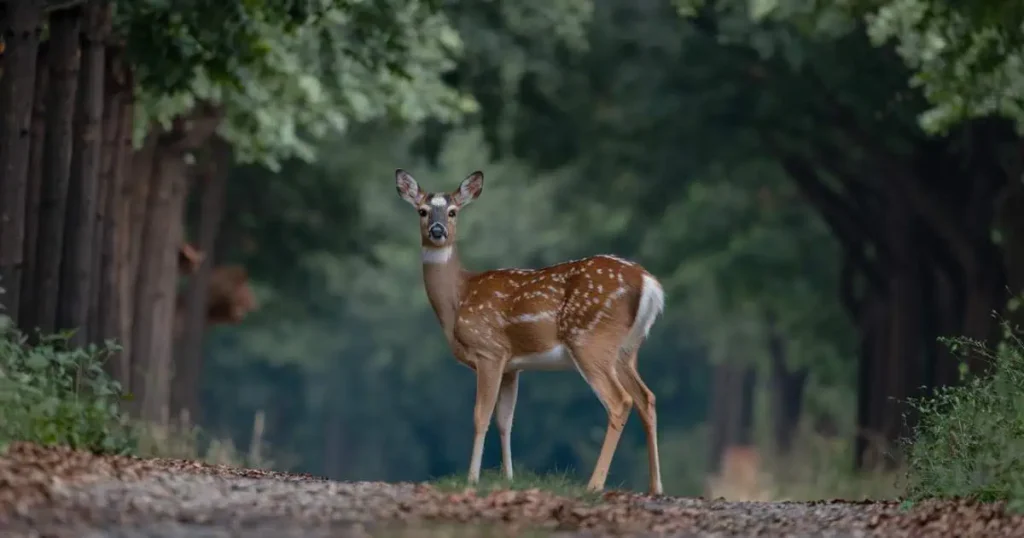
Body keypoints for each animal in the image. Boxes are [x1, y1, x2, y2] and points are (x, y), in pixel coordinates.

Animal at [395, 170, 667, 493]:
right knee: (646, 398)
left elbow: (480, 415)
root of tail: (648, 282)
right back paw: (656, 487)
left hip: (591, 340)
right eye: (422, 211)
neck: (458, 299)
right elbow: (505, 420)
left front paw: (472, 478)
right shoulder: (512, 366)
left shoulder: (489, 351)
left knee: (620, 401)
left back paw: (594, 484)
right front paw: (509, 478)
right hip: (627, 349)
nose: (437, 231)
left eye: (453, 212)